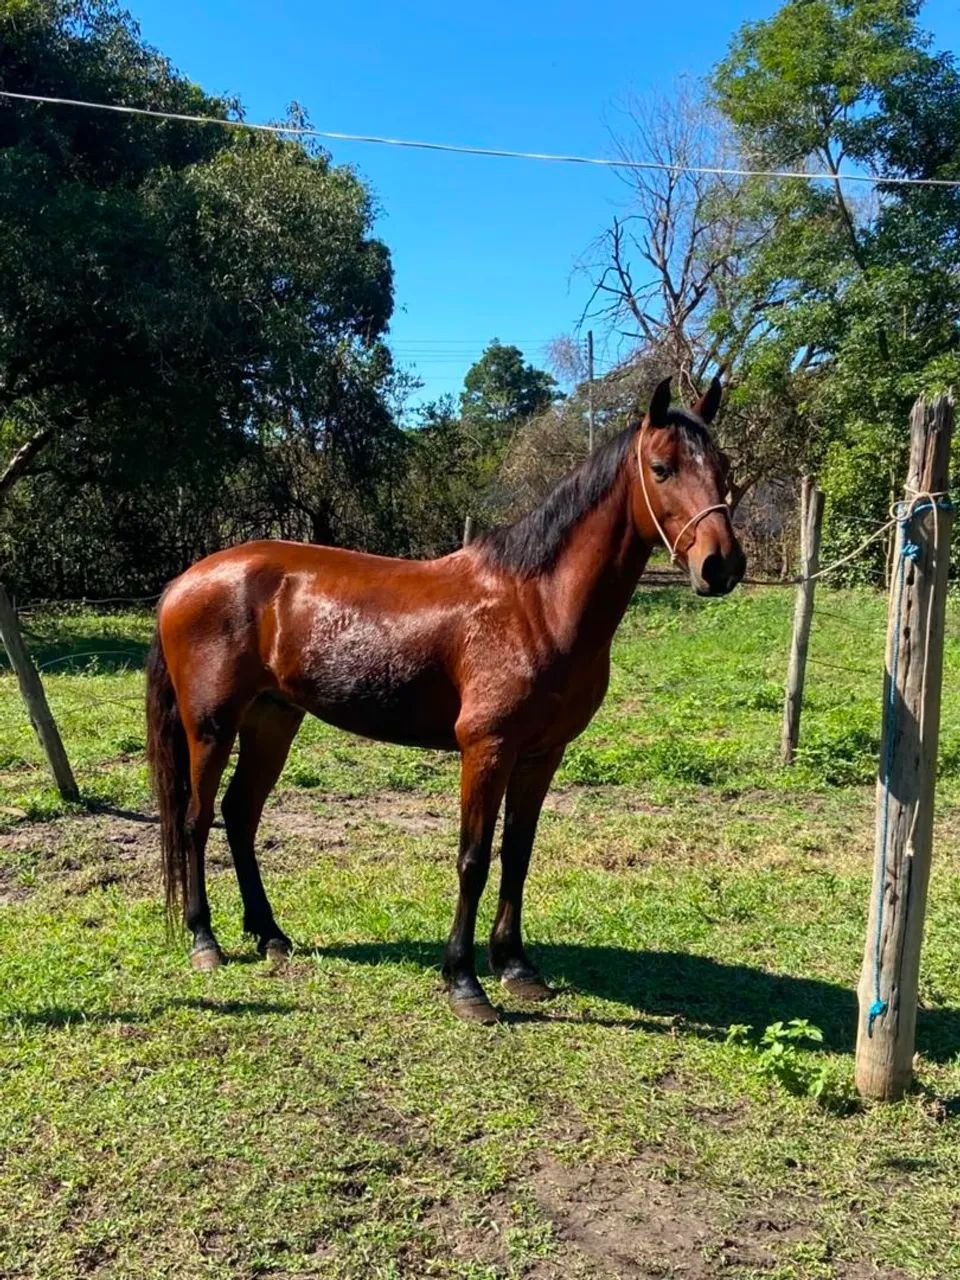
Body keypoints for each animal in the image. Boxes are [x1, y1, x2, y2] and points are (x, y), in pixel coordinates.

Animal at [145, 375, 745, 1023]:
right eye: (661, 468)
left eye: (723, 466)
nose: (722, 565)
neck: (535, 604)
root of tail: (184, 582)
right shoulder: (486, 750)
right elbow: (473, 859)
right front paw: (465, 983)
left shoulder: (541, 755)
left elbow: (517, 854)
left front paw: (516, 968)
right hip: (211, 725)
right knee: (196, 819)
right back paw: (205, 941)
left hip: (272, 720)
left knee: (240, 815)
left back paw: (271, 936)